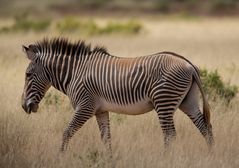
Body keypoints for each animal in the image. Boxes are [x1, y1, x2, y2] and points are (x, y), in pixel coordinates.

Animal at [21, 37, 214, 154]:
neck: (75, 73)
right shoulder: (100, 110)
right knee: (205, 128)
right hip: (187, 101)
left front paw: (60, 156)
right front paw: (109, 160)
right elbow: (106, 138)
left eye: (28, 75)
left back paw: (165, 159)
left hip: (164, 101)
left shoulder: (85, 106)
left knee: (170, 134)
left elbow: (67, 131)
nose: (24, 106)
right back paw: (211, 155)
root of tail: (189, 65)